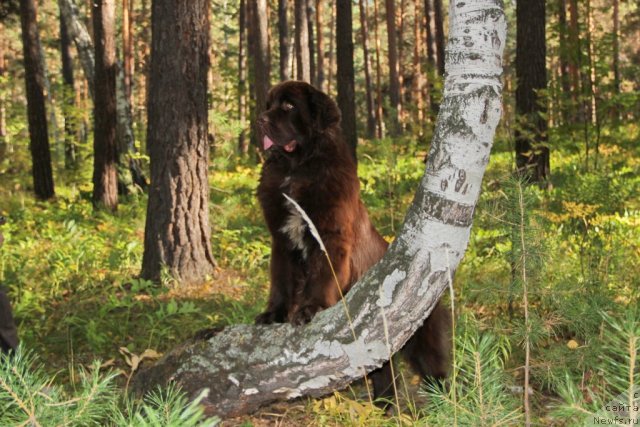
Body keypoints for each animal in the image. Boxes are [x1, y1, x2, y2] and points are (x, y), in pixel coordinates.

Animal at [255, 81, 450, 404]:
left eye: (289, 106)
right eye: (268, 104)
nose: (260, 120)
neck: (296, 169)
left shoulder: (329, 237)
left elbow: (321, 277)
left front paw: (310, 309)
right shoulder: (282, 241)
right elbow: (281, 281)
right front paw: (274, 314)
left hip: (419, 339)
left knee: (435, 370)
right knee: (384, 374)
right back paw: (384, 407)